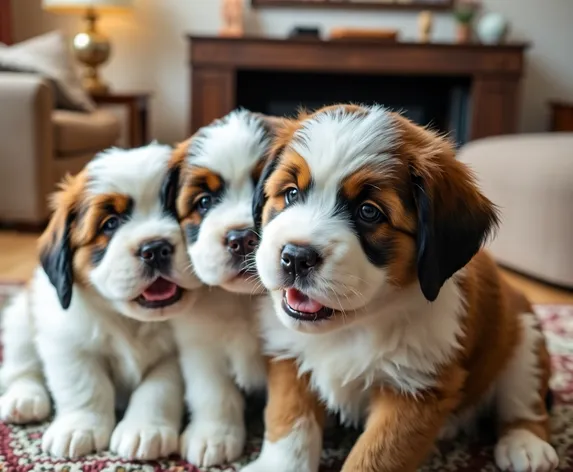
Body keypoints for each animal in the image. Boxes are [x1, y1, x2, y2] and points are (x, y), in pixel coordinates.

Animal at [0, 145, 201, 460]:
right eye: (110, 224)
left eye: (172, 210)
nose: (155, 248)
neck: (132, 321)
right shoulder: (67, 341)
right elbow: (86, 385)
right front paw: (79, 427)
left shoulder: (175, 356)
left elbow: (158, 388)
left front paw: (144, 429)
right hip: (21, 316)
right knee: (20, 367)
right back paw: (24, 398)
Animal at [242, 105, 560, 472]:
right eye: (291, 193)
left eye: (369, 212)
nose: (295, 257)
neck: (353, 326)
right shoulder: (288, 355)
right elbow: (291, 424)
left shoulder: (415, 389)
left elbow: (373, 458)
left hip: (525, 337)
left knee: (525, 401)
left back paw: (526, 444)